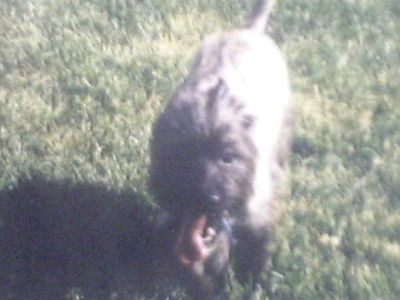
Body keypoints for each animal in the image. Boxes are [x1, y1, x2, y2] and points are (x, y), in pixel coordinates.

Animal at [148, 0, 292, 298]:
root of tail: (249, 30)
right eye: (180, 155)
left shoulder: (259, 215)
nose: (204, 197)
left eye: (228, 158)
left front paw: (252, 282)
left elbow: (256, 249)